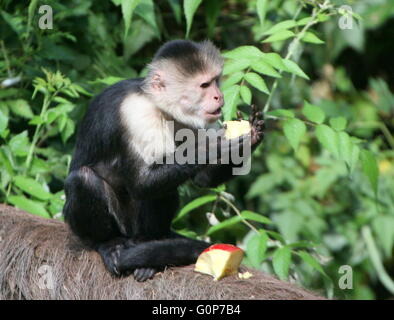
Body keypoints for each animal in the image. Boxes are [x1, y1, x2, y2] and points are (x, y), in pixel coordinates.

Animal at [63, 38, 264, 282]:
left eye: (216, 82)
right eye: (204, 85)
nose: (219, 96)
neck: (159, 105)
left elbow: (202, 178)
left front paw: (252, 137)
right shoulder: (138, 113)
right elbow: (141, 183)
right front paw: (211, 147)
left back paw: (151, 246)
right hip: (111, 226)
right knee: (82, 179)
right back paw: (108, 243)